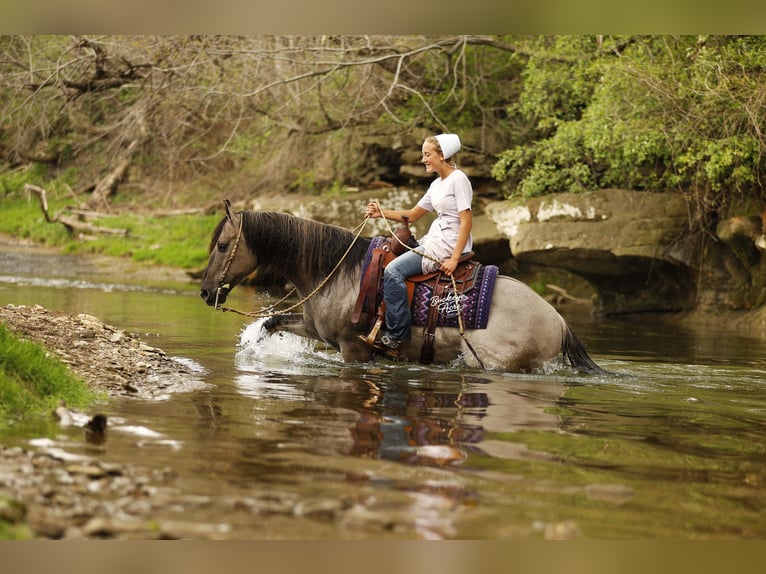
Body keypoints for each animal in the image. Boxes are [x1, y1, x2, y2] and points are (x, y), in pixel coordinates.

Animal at [199, 199, 609, 374]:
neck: (336, 271)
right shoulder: (317, 330)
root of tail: (558, 319)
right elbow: (271, 324)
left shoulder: (354, 349)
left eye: (222, 245)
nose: (205, 292)